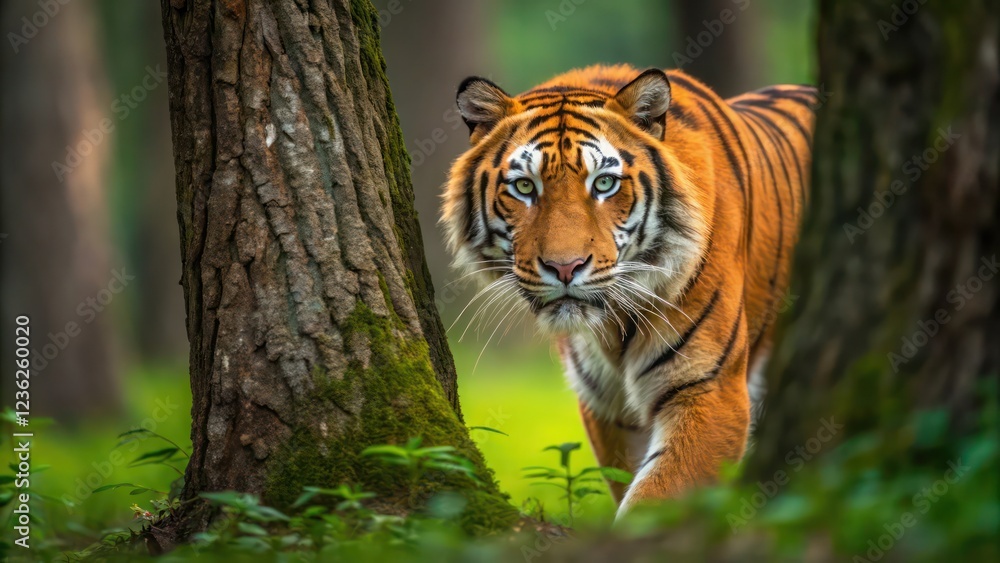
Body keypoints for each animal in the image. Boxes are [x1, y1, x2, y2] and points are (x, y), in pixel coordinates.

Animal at [440, 64, 816, 518]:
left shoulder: (708, 388)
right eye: (524, 187)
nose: (564, 267)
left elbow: (653, 502)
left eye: (604, 183)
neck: (613, 328)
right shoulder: (609, 408)